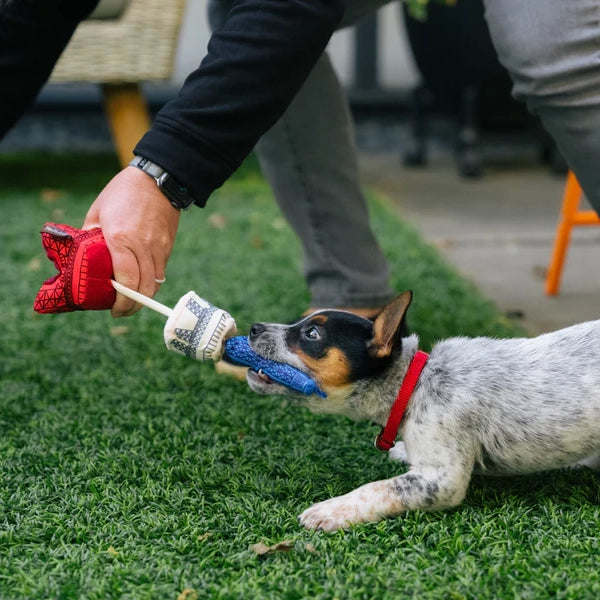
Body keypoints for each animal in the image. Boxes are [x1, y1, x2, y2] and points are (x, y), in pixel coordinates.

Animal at [244, 290, 600, 528]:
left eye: (312, 333)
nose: (253, 327)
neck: (414, 385)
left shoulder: (442, 479)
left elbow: (377, 489)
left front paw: (330, 510)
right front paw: (404, 451)